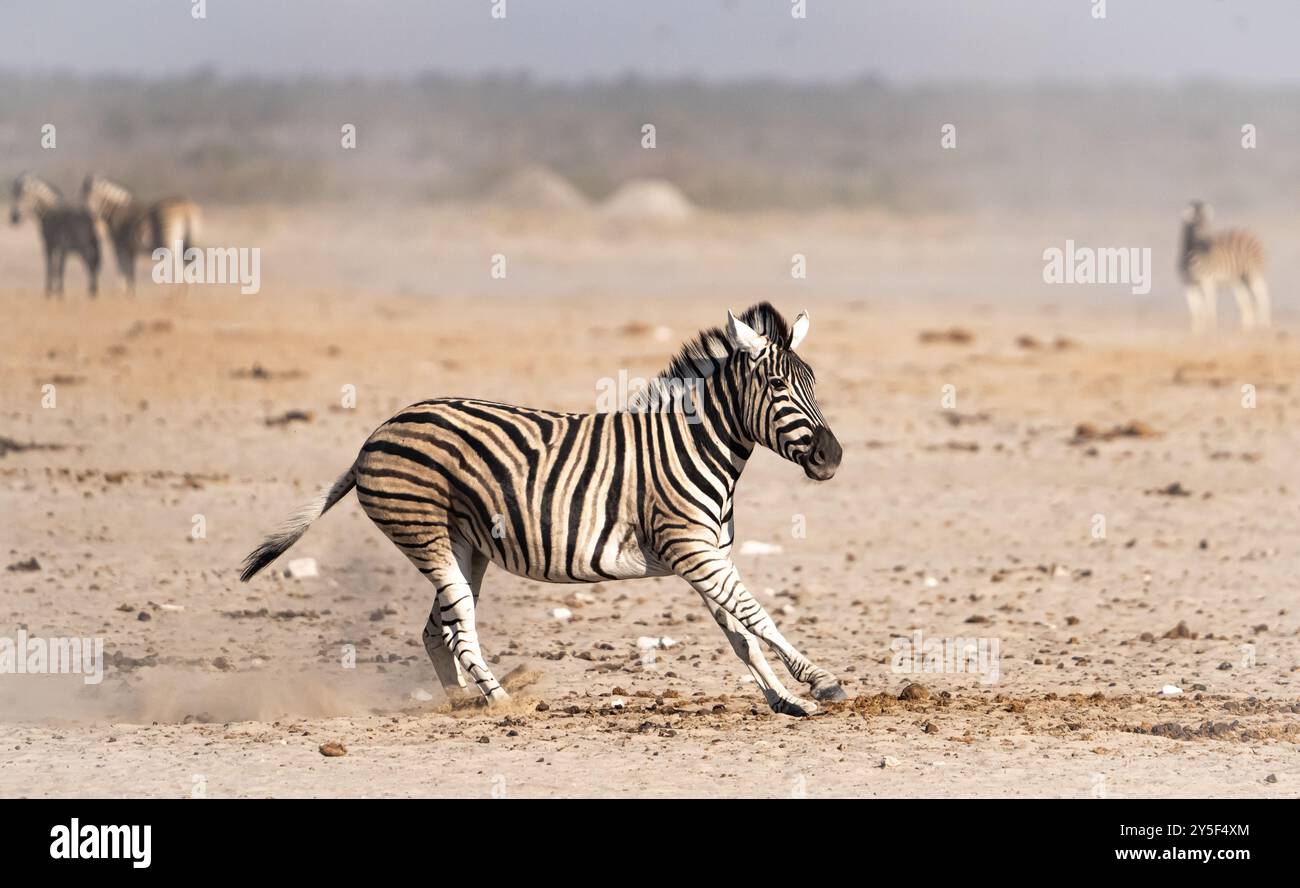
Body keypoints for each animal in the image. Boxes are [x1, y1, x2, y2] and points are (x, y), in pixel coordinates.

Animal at [241, 301, 852, 717]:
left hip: (465, 546)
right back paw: (500, 701)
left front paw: (785, 700)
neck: (695, 447)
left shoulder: (707, 554)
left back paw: (460, 704)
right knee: (458, 627)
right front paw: (820, 681)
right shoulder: (691, 550)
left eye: (813, 383)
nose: (833, 457)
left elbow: (741, 633)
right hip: (425, 532)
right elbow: (757, 616)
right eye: (777, 386)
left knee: (437, 629)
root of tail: (376, 433)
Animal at [1180, 200, 1268, 332]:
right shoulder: (1188, 283)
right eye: (1196, 227)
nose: (1208, 245)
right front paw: (1197, 331)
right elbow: (1196, 309)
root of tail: (1248, 232)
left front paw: (1210, 329)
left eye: (1208, 225)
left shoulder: (1208, 281)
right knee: (1246, 300)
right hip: (1238, 278)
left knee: (1262, 294)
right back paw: (1247, 328)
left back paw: (1265, 324)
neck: (1191, 256)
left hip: (1253, 271)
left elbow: (1208, 305)